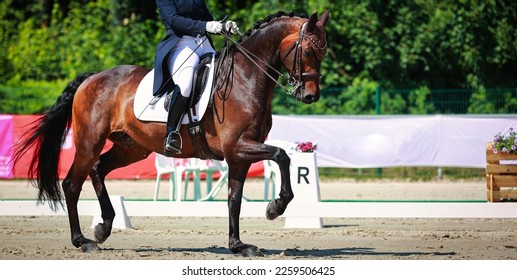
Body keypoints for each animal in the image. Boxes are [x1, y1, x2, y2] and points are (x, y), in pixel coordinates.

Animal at [14, 10, 328, 258]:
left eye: (323, 53)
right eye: (308, 51)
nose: (311, 96)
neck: (245, 79)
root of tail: (92, 77)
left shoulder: (239, 156)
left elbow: (234, 199)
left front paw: (238, 245)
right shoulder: (238, 147)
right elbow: (282, 155)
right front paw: (275, 207)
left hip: (132, 148)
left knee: (98, 169)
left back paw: (104, 226)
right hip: (89, 142)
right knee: (72, 184)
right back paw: (82, 241)